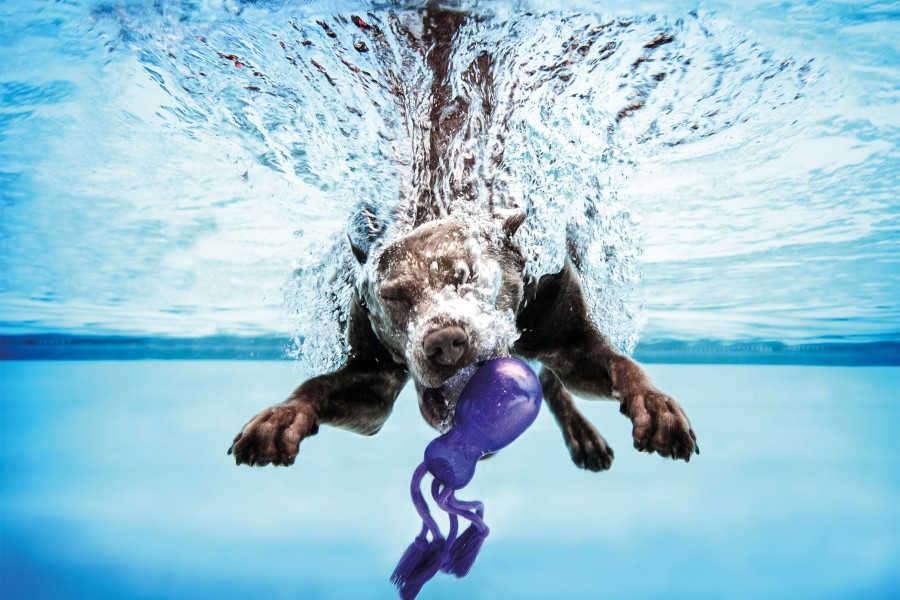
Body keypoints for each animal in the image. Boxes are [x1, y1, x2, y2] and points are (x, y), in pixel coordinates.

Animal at [223, 9, 696, 472]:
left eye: (467, 274)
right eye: (394, 297)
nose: (444, 342)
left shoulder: (573, 340)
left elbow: (619, 364)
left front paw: (653, 403)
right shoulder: (370, 384)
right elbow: (318, 385)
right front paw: (284, 415)